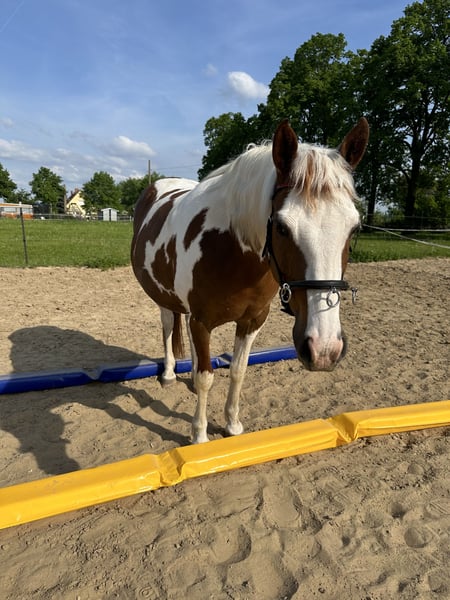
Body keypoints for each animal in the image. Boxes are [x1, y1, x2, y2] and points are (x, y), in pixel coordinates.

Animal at [131, 118, 369, 443]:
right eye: (282, 227)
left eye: (354, 228)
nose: (324, 350)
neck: (232, 246)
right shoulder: (202, 321)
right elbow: (206, 377)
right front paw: (199, 436)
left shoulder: (252, 320)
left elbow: (238, 370)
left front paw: (232, 425)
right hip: (164, 299)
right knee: (168, 326)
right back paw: (168, 373)